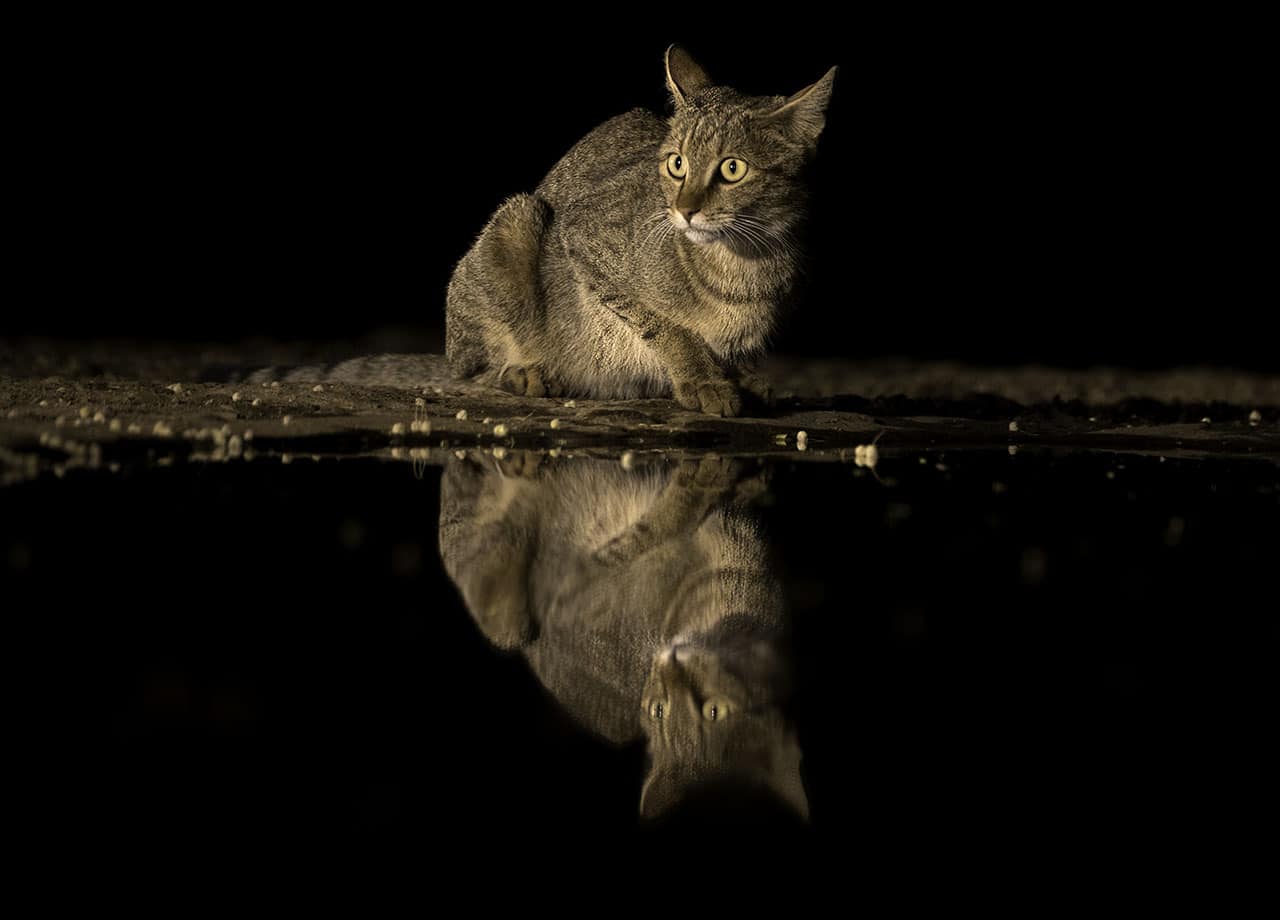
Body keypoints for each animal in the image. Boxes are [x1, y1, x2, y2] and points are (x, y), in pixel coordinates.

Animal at [435, 452, 803, 818]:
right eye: (659, 710)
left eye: (715, 711)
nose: (670, 663)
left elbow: (655, 525)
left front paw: (706, 481)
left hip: (506, 617)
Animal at [445, 46, 834, 414]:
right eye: (677, 164)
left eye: (733, 169)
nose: (685, 210)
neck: (743, 264)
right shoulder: (588, 246)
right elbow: (669, 328)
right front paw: (703, 379)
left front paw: (740, 377)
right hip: (517, 221)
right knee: (475, 368)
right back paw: (522, 371)